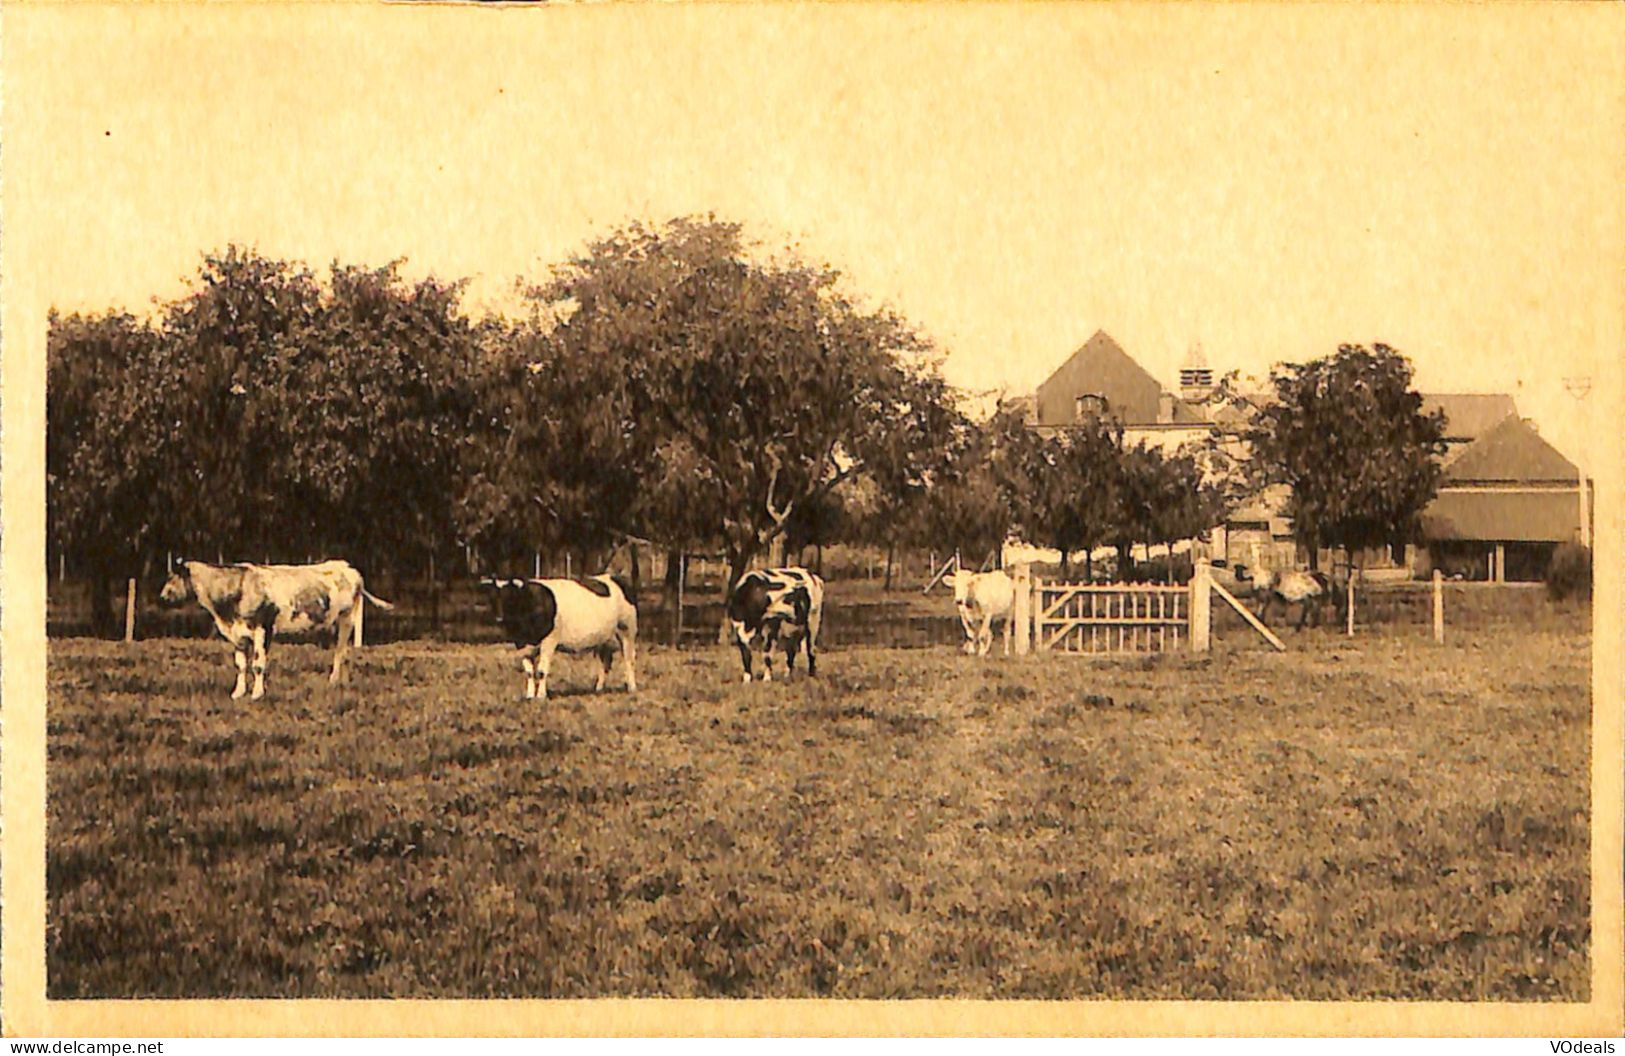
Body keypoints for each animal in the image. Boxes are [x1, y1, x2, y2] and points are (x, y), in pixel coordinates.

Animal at [156, 558, 396, 698]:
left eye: (172, 577)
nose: (162, 597)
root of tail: (349, 568)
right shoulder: (238, 634)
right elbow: (241, 664)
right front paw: (238, 692)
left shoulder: (263, 628)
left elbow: (258, 664)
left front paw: (257, 694)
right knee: (344, 651)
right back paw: (342, 683)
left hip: (348, 618)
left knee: (339, 652)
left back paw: (333, 681)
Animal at [477, 575, 637, 698]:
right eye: (491, 597)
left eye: (509, 596)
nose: (499, 618)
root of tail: (613, 577)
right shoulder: (521, 643)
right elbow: (529, 672)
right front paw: (530, 695)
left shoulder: (549, 641)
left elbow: (541, 671)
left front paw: (541, 695)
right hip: (601, 639)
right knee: (604, 662)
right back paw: (599, 688)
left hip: (627, 630)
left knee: (628, 659)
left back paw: (631, 687)